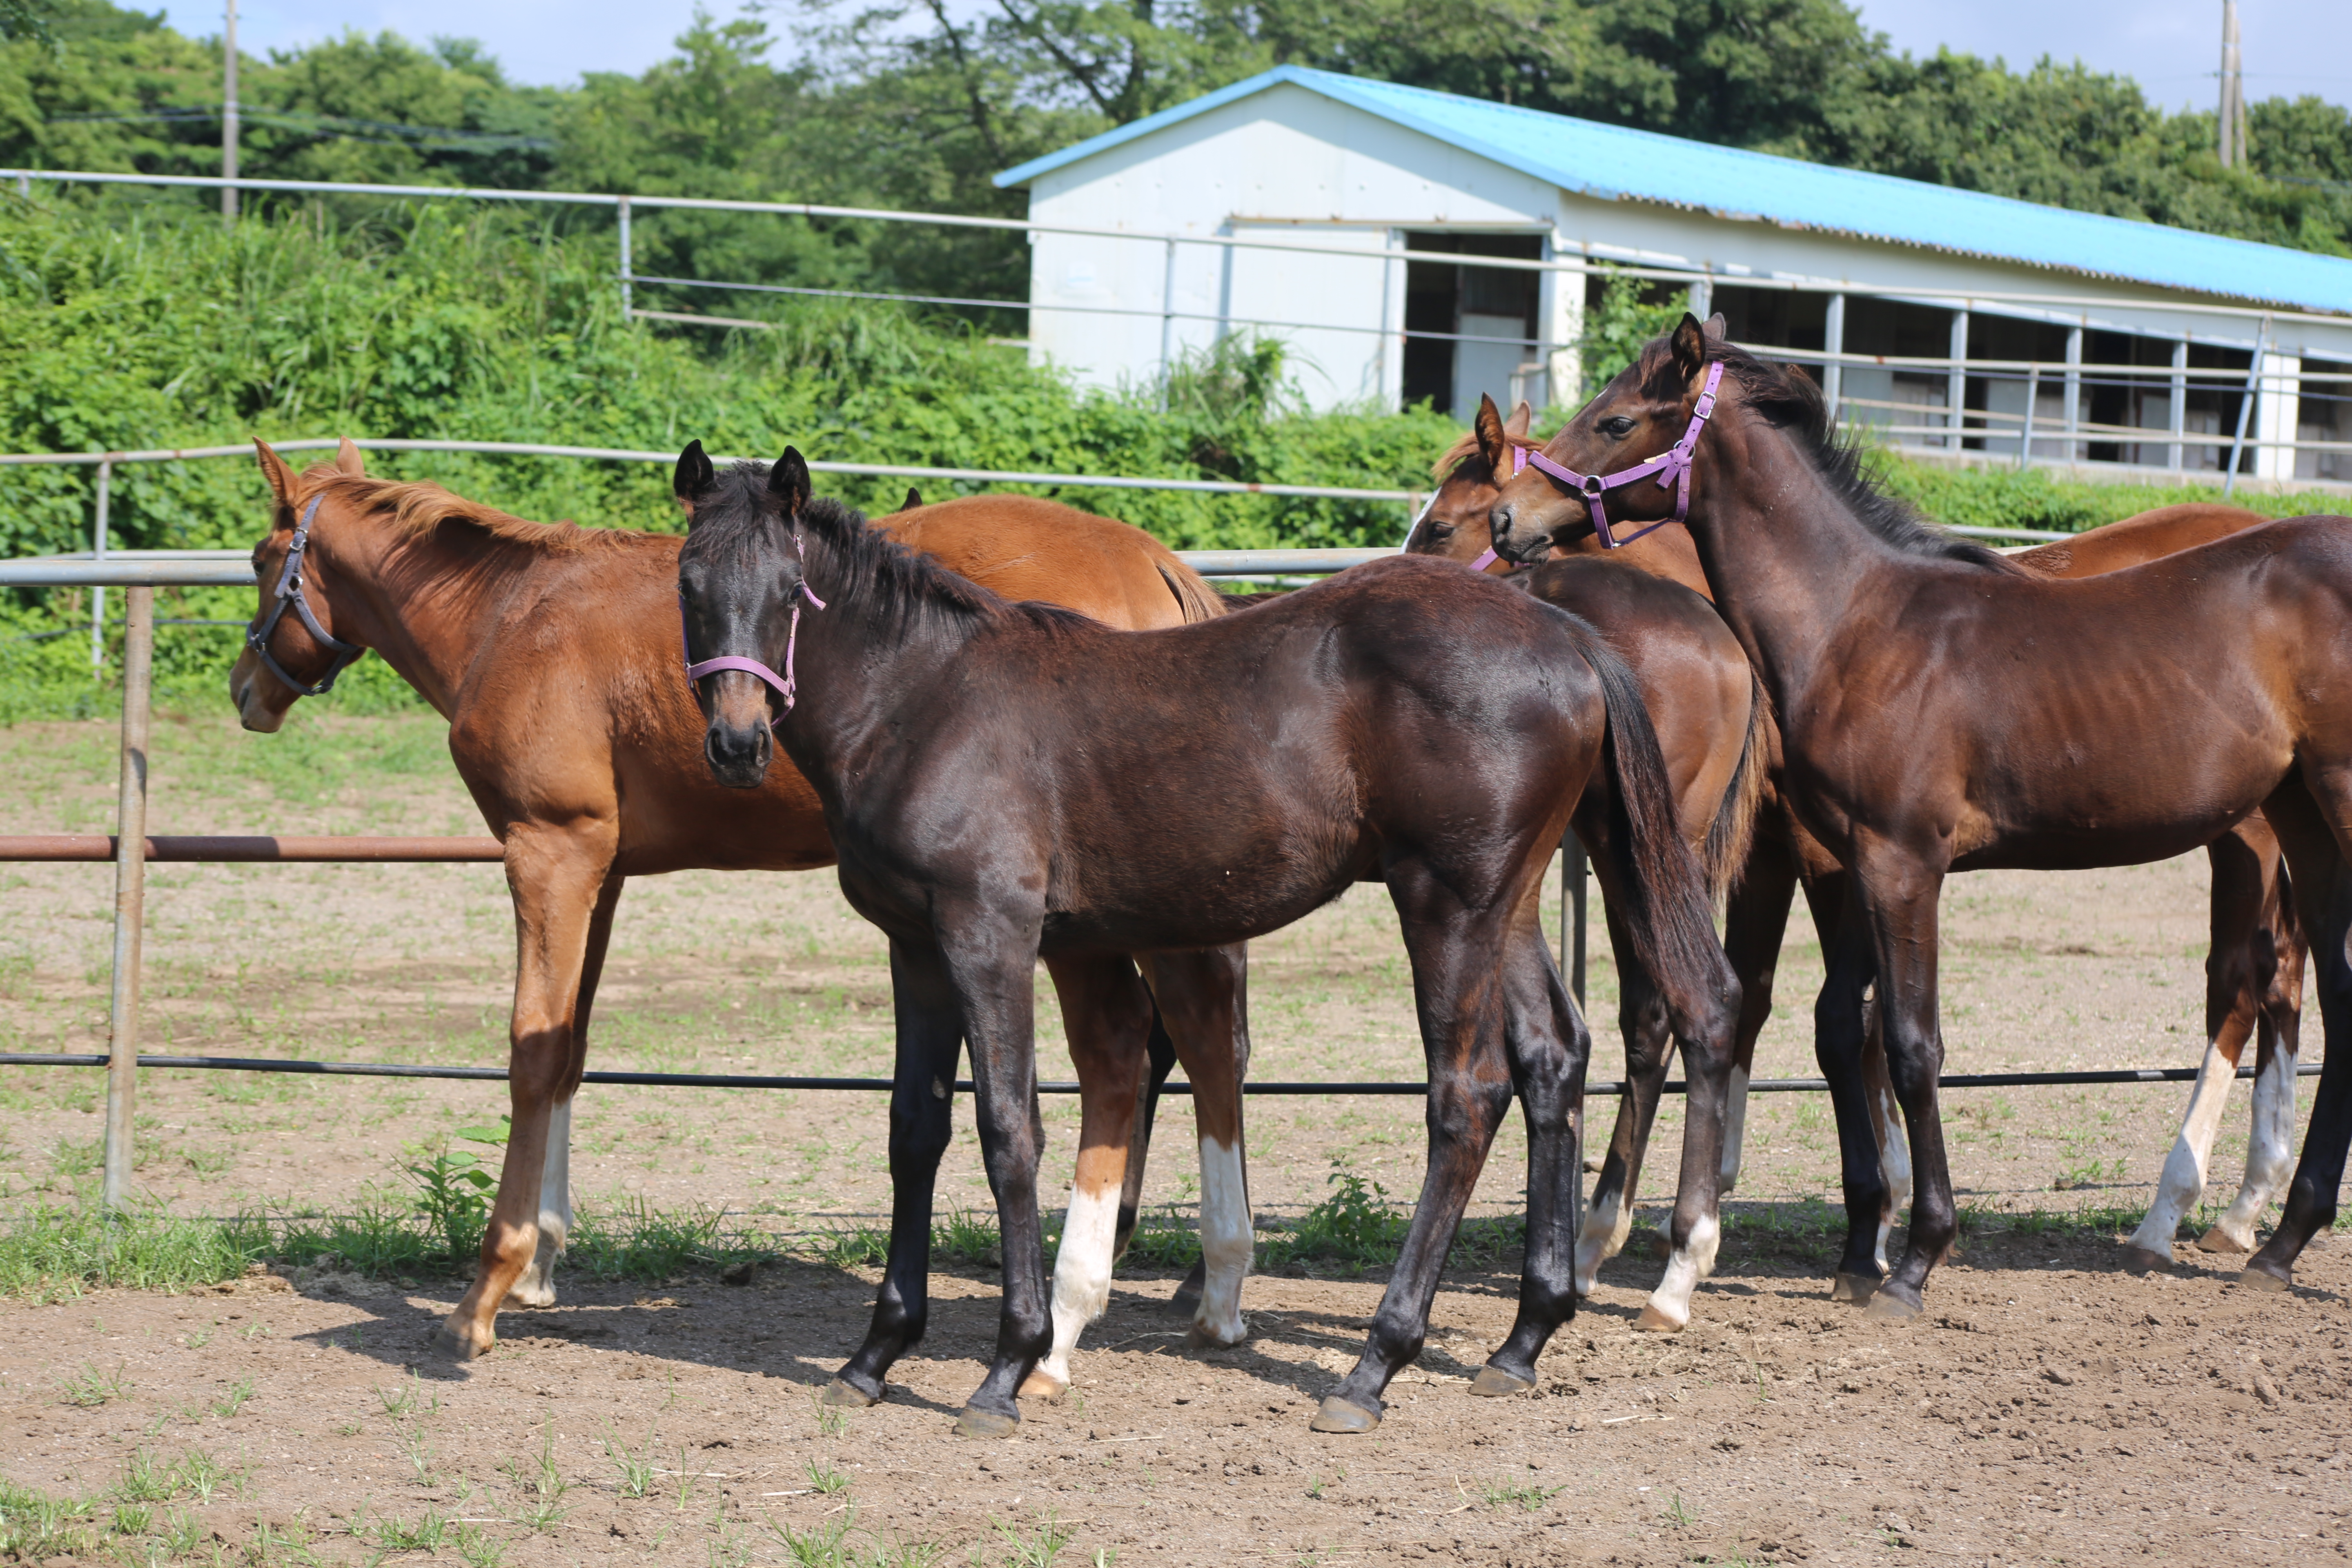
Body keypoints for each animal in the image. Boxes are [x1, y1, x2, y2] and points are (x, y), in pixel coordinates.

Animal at [229, 439, 1242, 1382]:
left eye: (260, 556)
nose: (246, 691)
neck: (512, 615)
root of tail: (1157, 564)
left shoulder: (550, 852)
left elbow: (532, 1052)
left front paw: (489, 1287)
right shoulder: (602, 869)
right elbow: (570, 1050)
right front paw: (542, 1262)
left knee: (1165, 1042)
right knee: (1198, 1043)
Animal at [673, 446, 1740, 1439]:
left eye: (789, 590)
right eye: (689, 583)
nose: (735, 744)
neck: (925, 702)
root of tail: (1570, 637)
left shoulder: (990, 934)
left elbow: (1010, 1128)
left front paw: (1008, 1366)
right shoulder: (916, 947)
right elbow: (913, 1129)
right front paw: (875, 1354)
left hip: (1446, 905)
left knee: (1466, 1095)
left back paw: (1373, 1367)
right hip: (1505, 904)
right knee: (1550, 1056)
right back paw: (1522, 1338)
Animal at [1496, 315, 2352, 1316]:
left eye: (1617, 421)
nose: (1511, 520)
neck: (1858, 624)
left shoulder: (1903, 864)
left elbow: (1909, 1045)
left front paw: (1913, 1258)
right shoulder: (1848, 858)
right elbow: (1849, 1028)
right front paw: (1867, 1243)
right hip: (2302, 823)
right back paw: (2281, 1239)